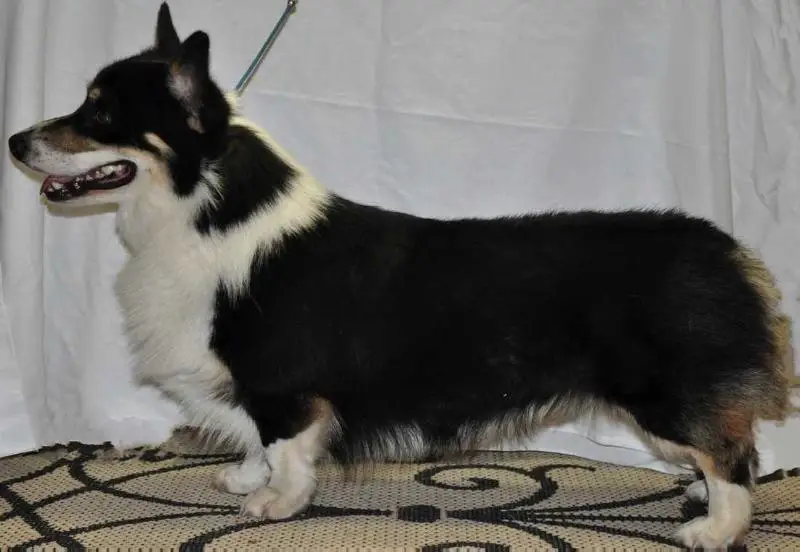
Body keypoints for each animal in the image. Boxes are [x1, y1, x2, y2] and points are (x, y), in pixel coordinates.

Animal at [7, 4, 792, 548]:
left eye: (100, 112)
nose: (15, 142)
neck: (202, 210)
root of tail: (726, 250)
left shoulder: (283, 385)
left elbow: (284, 446)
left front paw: (273, 504)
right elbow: (257, 441)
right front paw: (244, 478)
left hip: (661, 392)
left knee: (730, 454)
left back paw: (714, 529)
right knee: (732, 451)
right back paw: (699, 500)